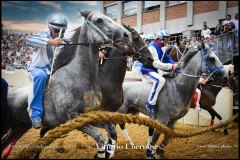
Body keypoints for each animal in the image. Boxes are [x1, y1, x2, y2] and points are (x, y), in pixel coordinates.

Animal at [0, 10, 132, 159]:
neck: (81, 77)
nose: (127, 34)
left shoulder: (91, 115)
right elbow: (100, 138)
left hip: (19, 127)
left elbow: (112, 131)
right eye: (99, 20)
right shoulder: (72, 117)